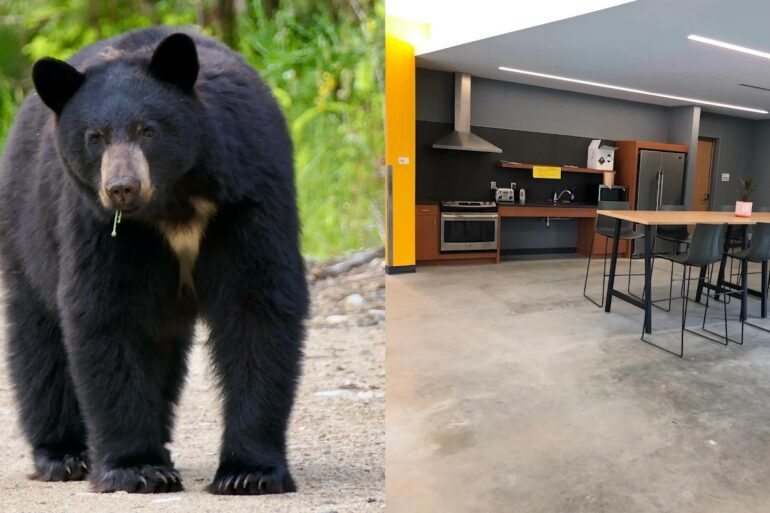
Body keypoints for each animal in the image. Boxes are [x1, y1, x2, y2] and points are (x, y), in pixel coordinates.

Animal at [0, 27, 309, 495]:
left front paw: (248, 472)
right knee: (40, 341)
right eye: (94, 137)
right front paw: (137, 468)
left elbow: (257, 306)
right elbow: (108, 312)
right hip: (28, 230)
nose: (122, 187)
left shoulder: (247, 196)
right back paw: (63, 454)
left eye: (148, 130)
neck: (174, 201)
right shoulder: (102, 226)